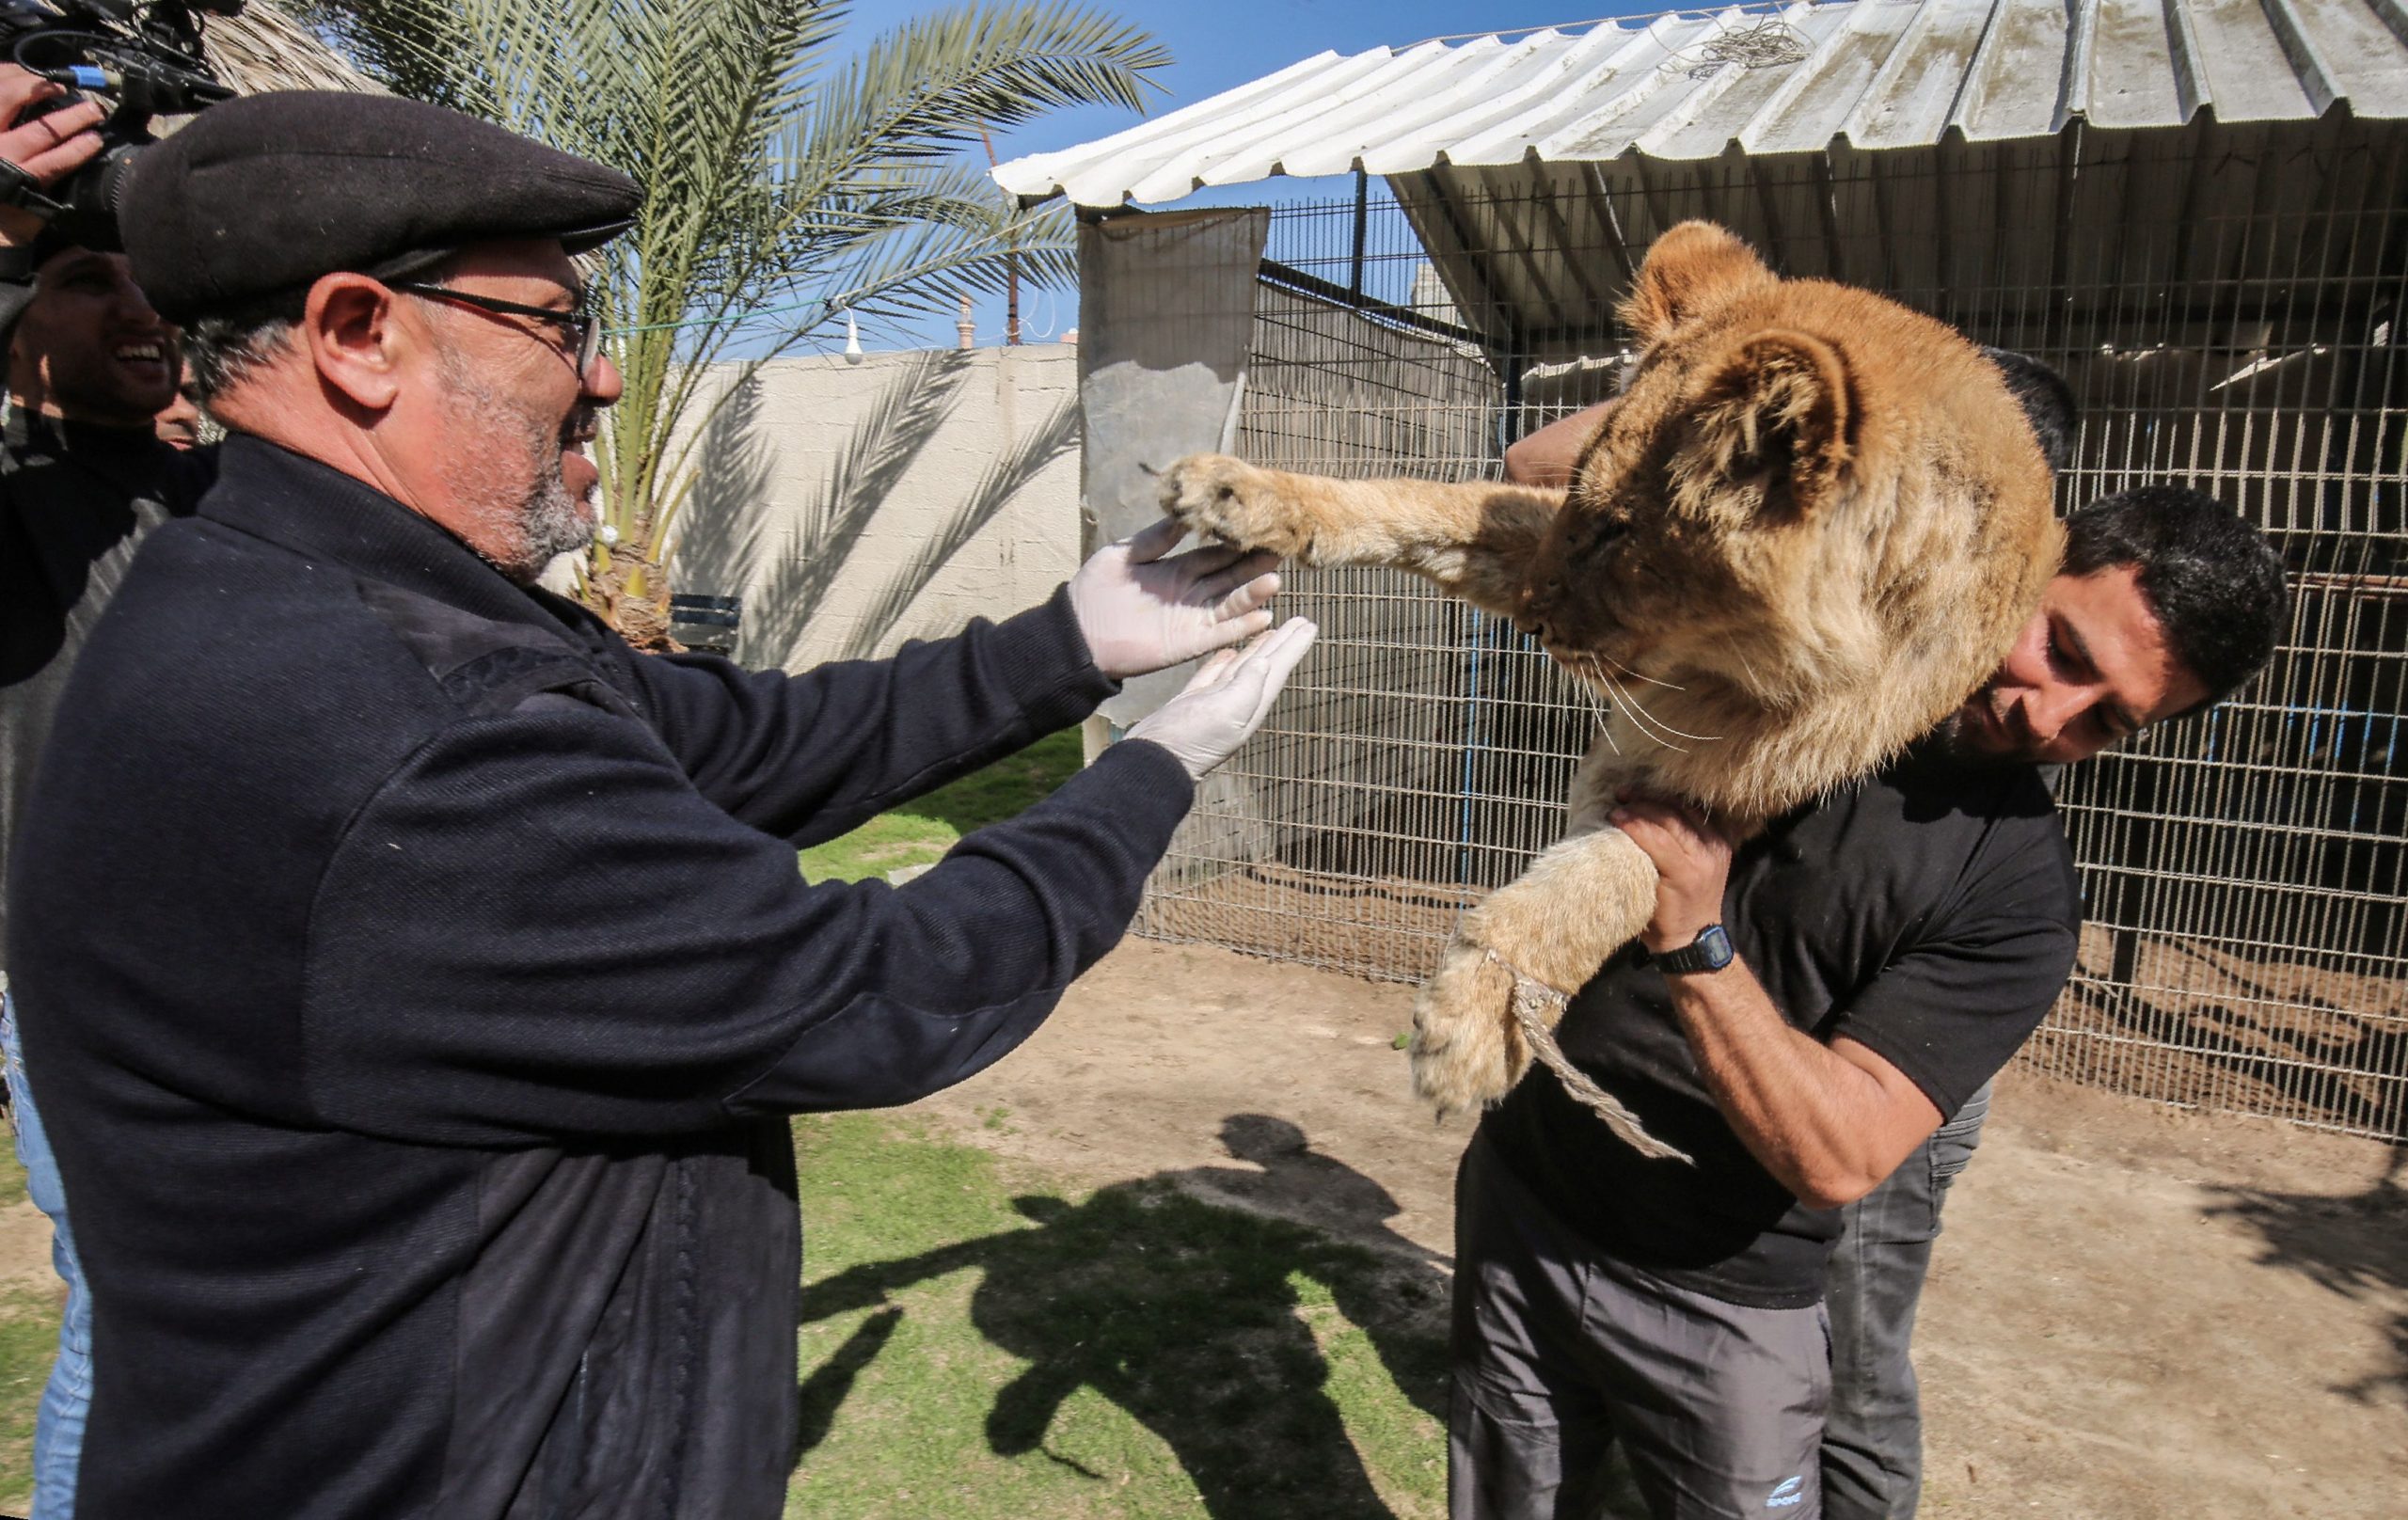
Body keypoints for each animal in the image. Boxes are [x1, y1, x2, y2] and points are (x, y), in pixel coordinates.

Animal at [1156, 221, 2062, 1157]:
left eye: (1620, 533)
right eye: (1583, 509)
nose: (1531, 616)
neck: (1731, 669)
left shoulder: (1741, 776)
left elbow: (1611, 877)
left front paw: (1477, 1027)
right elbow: (1427, 505)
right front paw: (1239, 491)